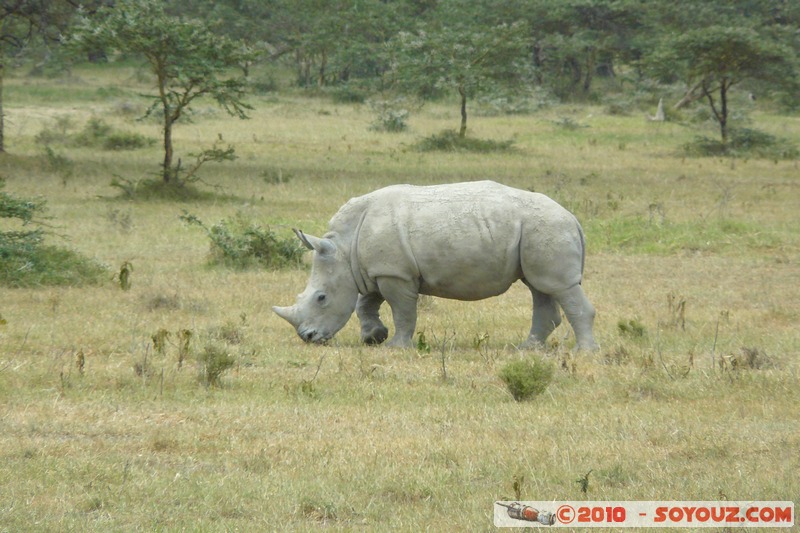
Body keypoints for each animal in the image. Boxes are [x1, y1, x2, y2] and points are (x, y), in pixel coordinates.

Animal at [273, 180, 598, 350]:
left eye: (321, 297)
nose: (307, 338)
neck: (343, 246)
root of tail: (573, 217)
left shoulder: (396, 273)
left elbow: (403, 311)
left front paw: (396, 347)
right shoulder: (375, 269)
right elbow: (364, 303)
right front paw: (373, 337)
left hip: (548, 228)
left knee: (559, 287)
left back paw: (584, 353)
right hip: (536, 232)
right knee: (540, 286)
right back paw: (526, 350)